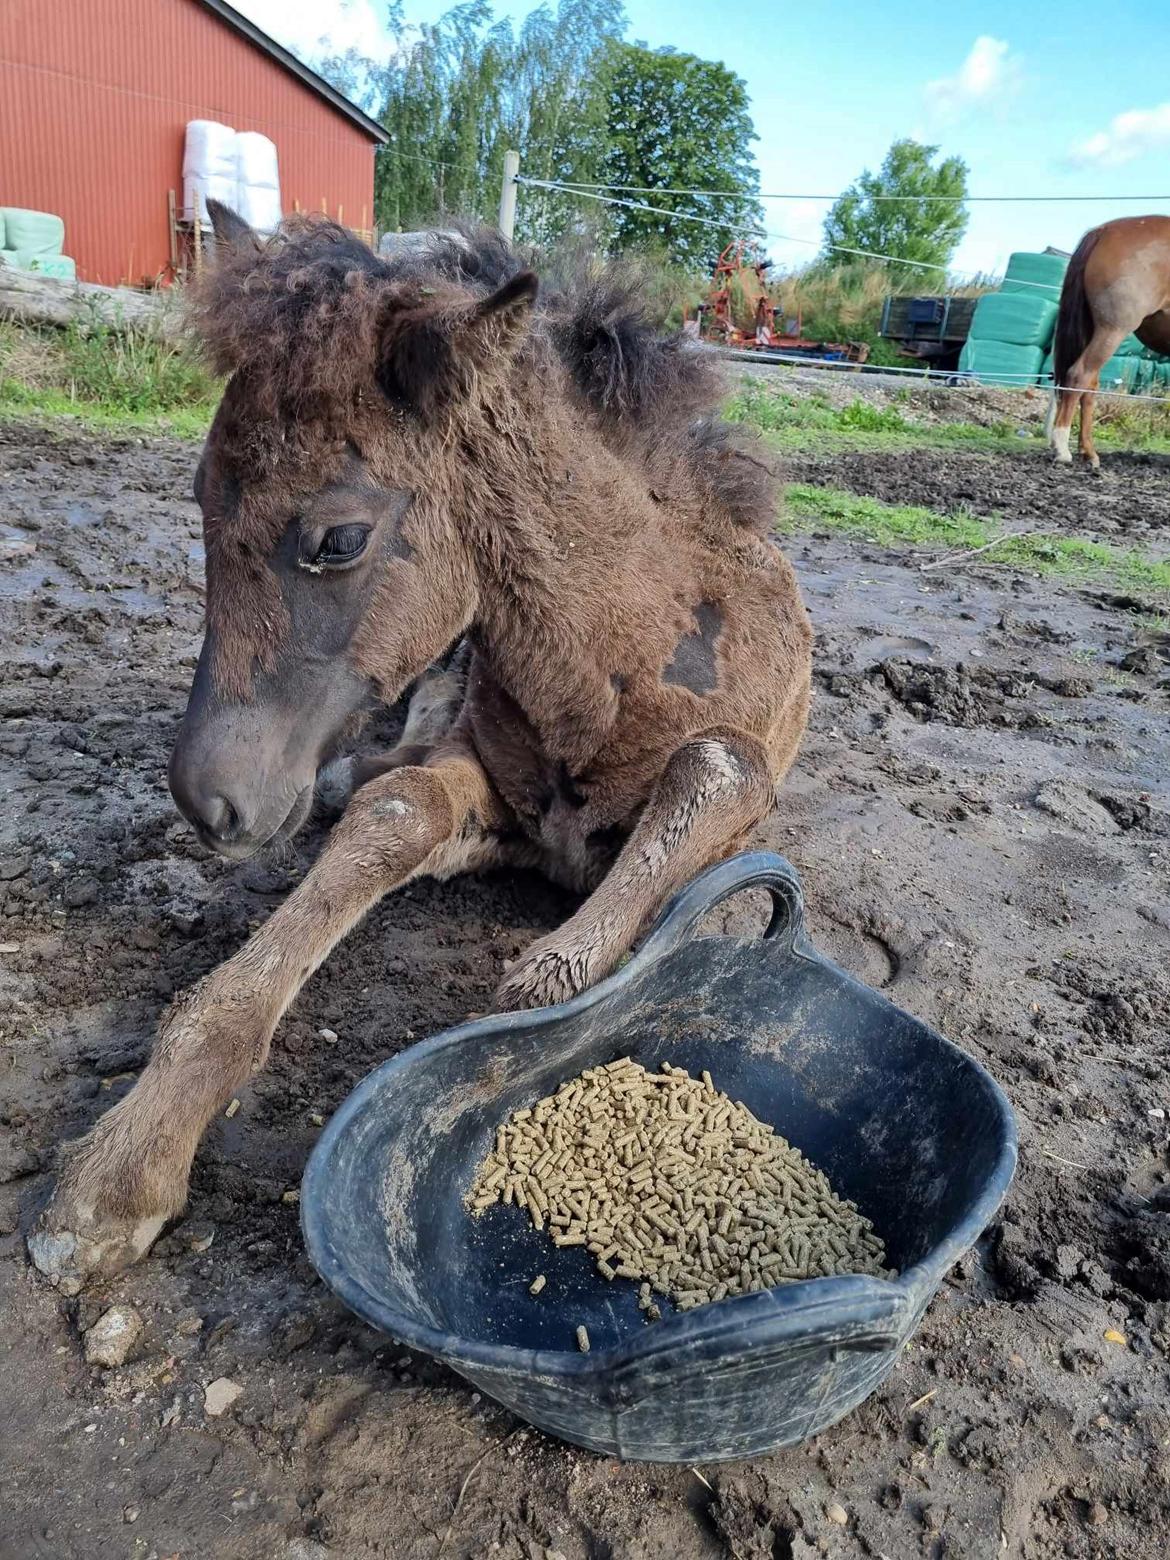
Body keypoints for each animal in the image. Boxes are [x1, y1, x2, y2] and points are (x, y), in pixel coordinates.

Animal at [29, 201, 817, 1285]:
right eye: (196, 496)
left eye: (338, 538)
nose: (209, 798)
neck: (626, 662)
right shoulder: (484, 787)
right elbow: (393, 813)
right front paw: (122, 1165)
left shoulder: (730, 797)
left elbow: (707, 780)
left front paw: (549, 978)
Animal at [1048, 215, 1170, 467]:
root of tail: (1105, 229)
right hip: (1112, 331)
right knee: (1078, 376)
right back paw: (1062, 448)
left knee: (1089, 386)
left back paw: (1089, 451)